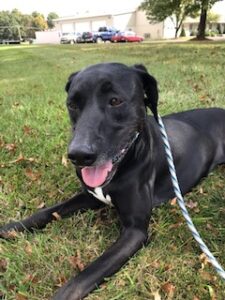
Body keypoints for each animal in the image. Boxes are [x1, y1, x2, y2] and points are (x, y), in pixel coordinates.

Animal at [0, 62, 225, 298]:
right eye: (72, 104)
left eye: (115, 101)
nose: (79, 156)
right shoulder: (89, 196)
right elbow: (46, 212)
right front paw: (10, 228)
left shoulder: (135, 231)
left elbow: (82, 278)